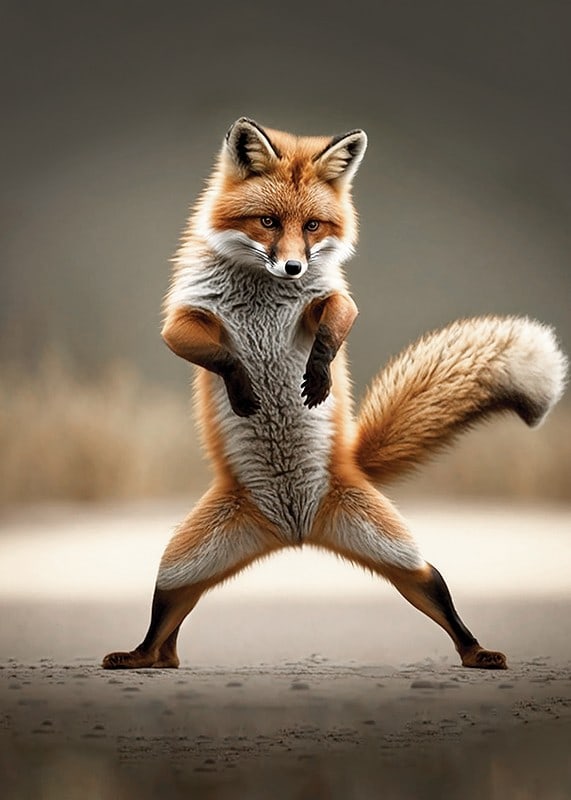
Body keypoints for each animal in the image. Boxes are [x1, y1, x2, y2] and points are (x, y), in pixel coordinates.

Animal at [102, 118, 567, 671]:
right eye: (267, 222)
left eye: (312, 227)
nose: (293, 269)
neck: (262, 293)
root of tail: (295, 532)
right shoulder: (185, 316)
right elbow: (218, 355)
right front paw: (244, 386)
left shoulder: (329, 297)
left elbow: (335, 324)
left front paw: (318, 375)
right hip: (182, 566)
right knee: (165, 618)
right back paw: (144, 657)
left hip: (396, 554)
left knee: (434, 585)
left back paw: (477, 652)